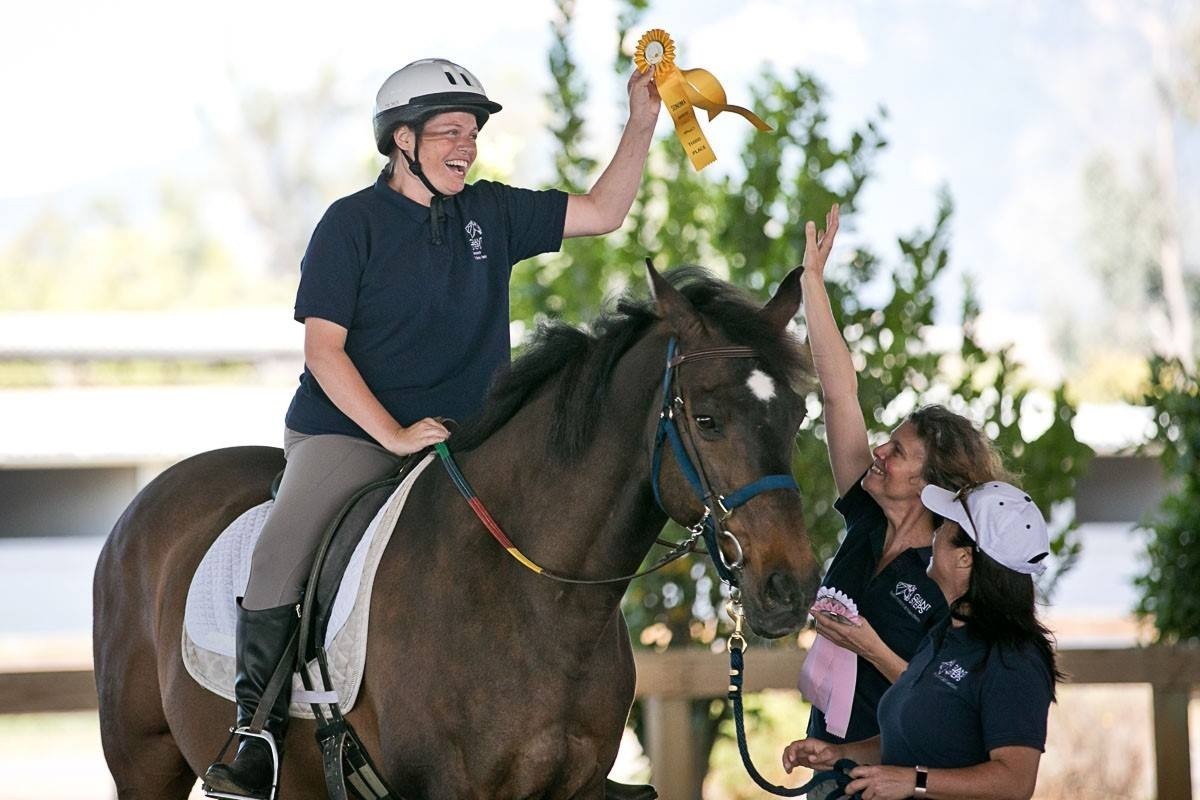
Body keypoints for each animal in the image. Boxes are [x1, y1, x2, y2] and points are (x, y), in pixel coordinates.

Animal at [96, 266, 825, 796]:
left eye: (797, 414)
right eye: (707, 420)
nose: (790, 589)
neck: (540, 598)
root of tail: (143, 503)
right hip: (144, 764)